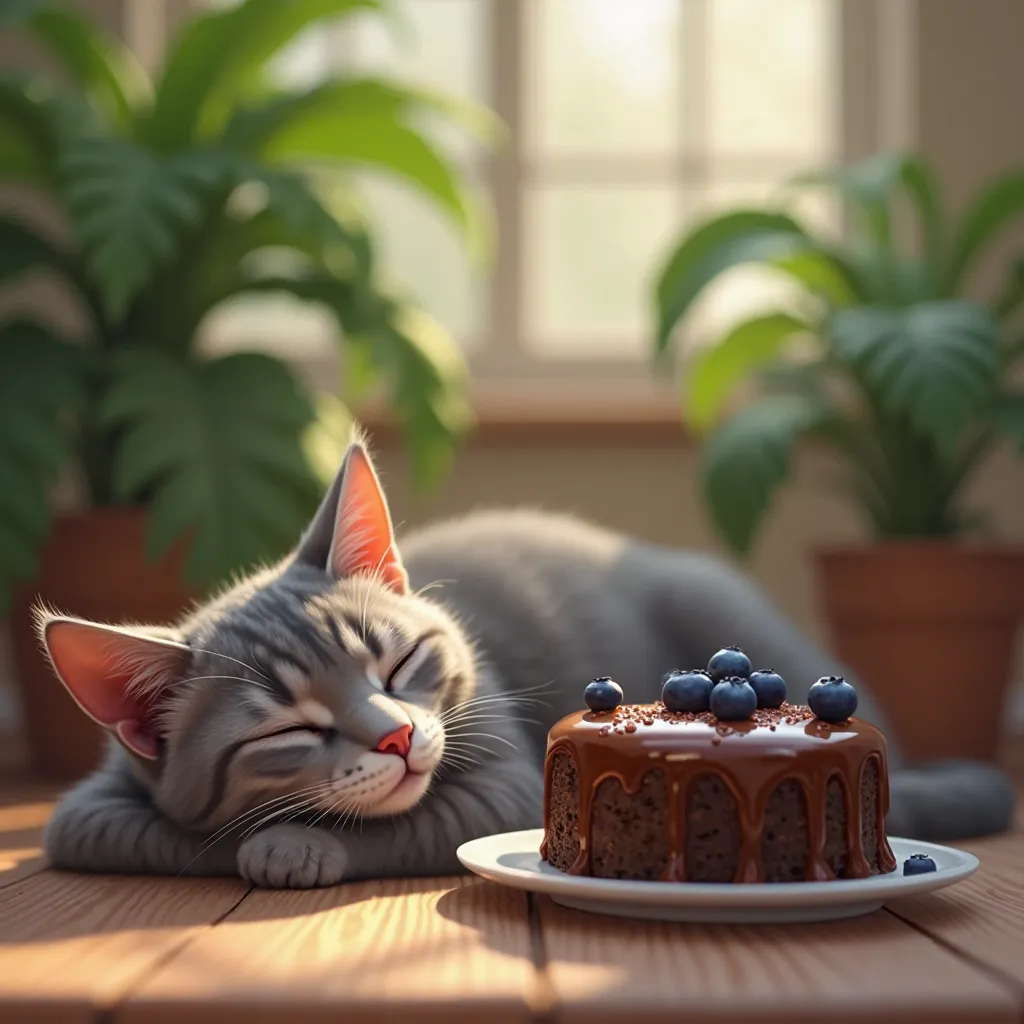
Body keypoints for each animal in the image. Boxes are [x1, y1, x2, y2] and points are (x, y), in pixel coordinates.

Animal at [37, 440, 1015, 888]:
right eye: (292, 726)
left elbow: (396, 827)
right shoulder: (86, 812)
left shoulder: (504, 775)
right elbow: (158, 833)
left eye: (399, 664)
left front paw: (292, 844)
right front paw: (254, 836)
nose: (396, 740)